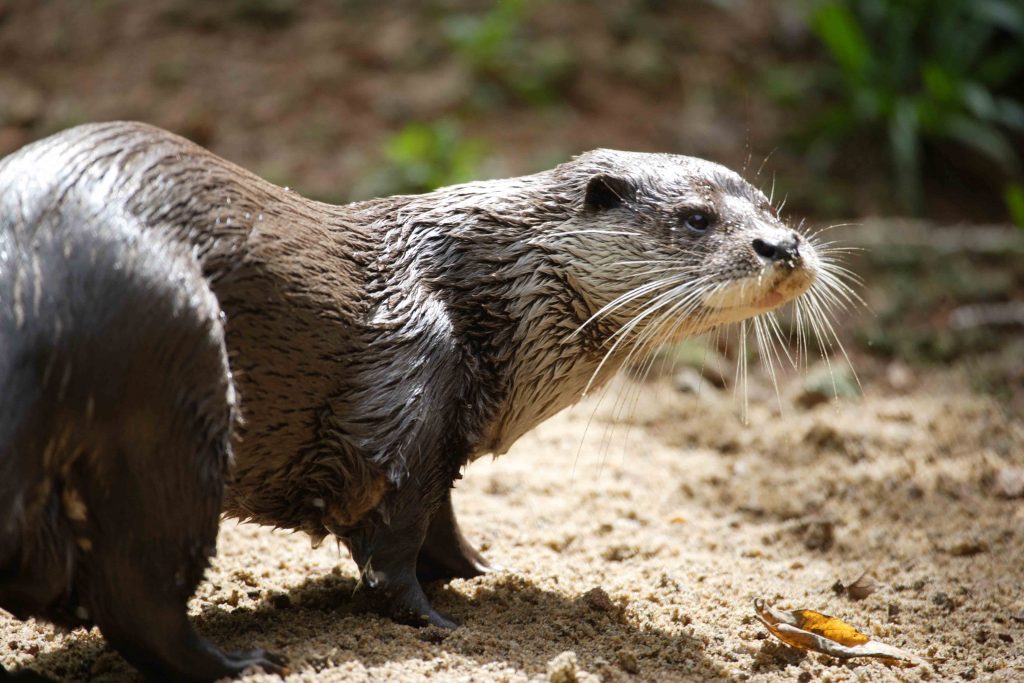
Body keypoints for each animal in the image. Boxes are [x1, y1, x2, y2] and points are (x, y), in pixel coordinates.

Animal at [0, 121, 823, 679]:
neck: (482, 292)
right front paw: (436, 622)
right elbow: (393, 536)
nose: (782, 246)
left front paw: (482, 571)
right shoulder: (409, 391)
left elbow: (442, 520)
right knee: (138, 584)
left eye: (771, 206)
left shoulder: (447, 428)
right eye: (697, 218)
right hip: (175, 365)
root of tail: (34, 276)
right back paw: (240, 661)